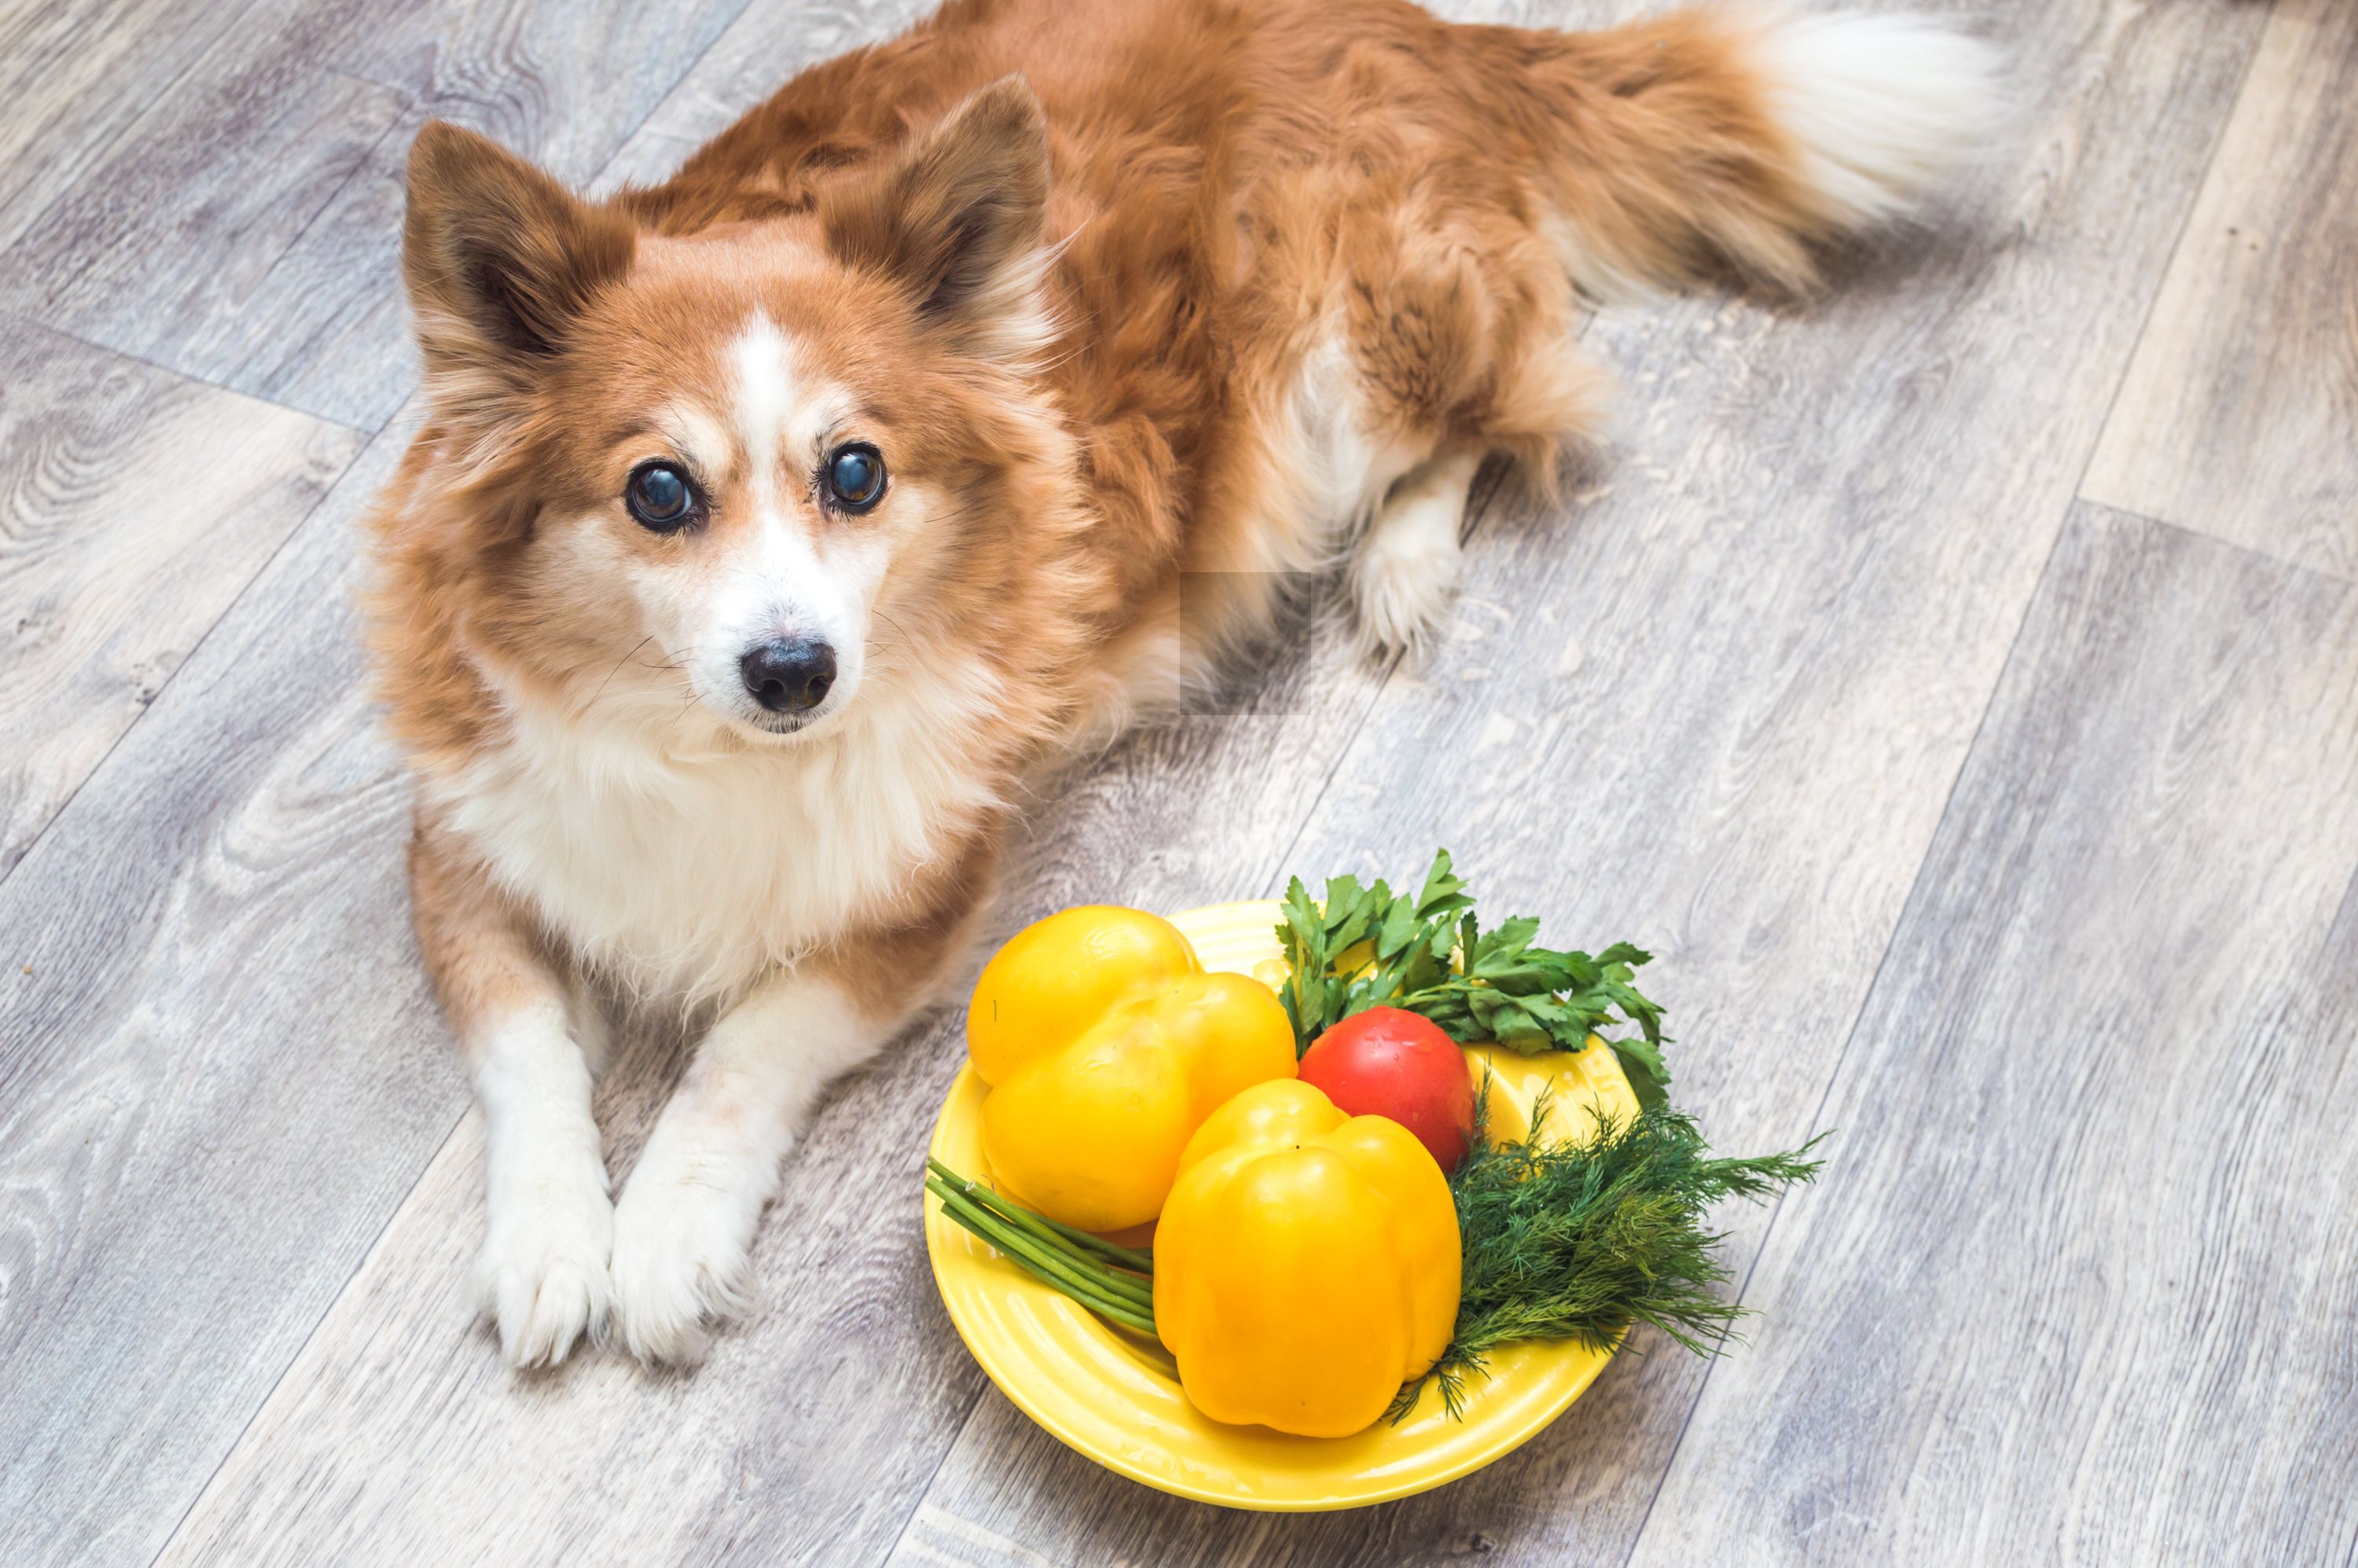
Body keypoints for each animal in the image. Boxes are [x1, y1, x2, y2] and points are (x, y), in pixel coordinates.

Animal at [363, 0, 1990, 1368]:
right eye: (657, 492)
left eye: (857, 473)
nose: (794, 673)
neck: (707, 752)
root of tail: (1419, 26)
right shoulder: (468, 835)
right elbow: (525, 1052)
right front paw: (552, 1243)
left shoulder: (924, 891)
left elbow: (745, 1046)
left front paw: (665, 1236)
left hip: (1341, 365)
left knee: (1484, 416)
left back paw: (1401, 564)